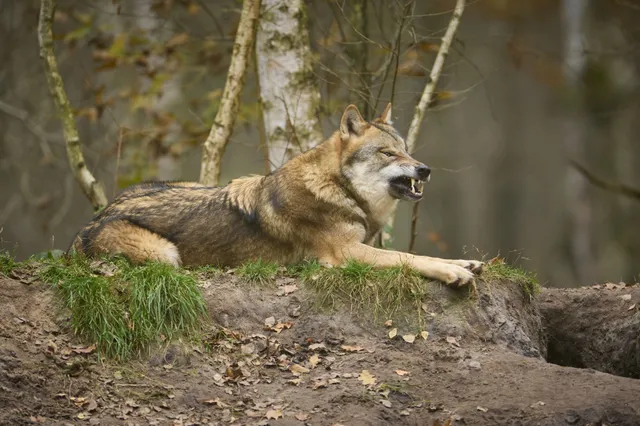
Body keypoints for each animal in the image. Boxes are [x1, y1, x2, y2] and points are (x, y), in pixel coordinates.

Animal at [70, 103, 482, 286]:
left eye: (407, 150)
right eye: (388, 153)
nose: (425, 169)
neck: (339, 188)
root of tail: (89, 223)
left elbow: (418, 253)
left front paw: (465, 263)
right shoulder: (347, 254)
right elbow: (407, 258)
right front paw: (452, 272)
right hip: (165, 255)